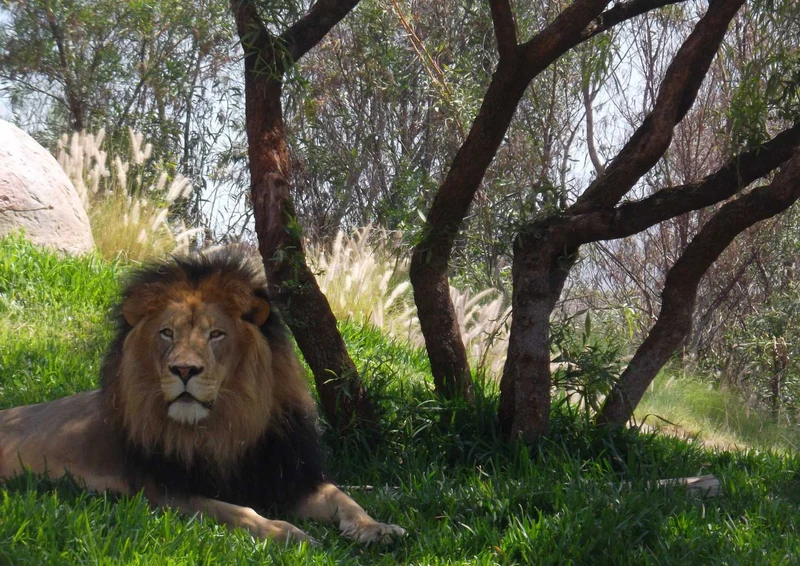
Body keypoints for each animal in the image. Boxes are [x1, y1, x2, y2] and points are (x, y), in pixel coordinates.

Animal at [0, 249, 405, 545]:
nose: (183, 370)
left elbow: (343, 497)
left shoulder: (289, 474)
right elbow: (237, 511)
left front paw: (376, 527)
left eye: (216, 334)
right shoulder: (165, 491)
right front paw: (286, 532)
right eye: (166, 333)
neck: (227, 425)